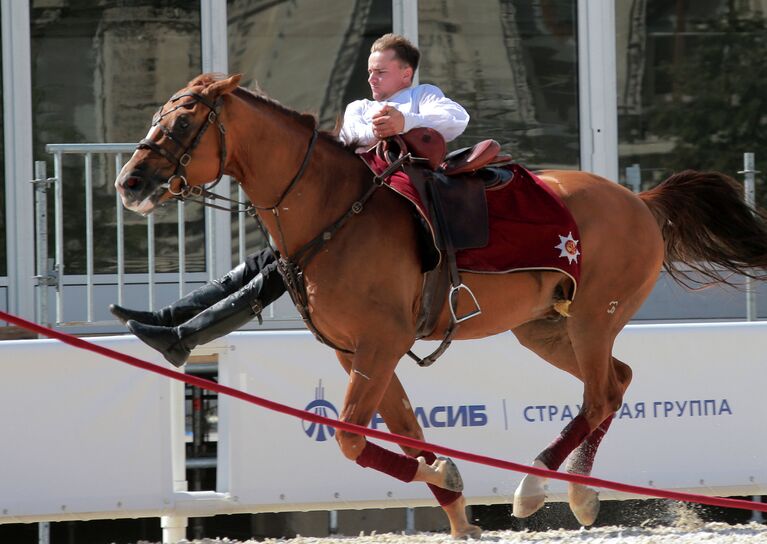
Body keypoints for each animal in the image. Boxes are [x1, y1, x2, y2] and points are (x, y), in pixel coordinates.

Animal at [117, 74, 767, 536]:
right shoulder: (359, 354)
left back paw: (538, 487)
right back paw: (581, 490)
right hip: (544, 329)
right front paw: (452, 501)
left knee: (602, 392)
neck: (338, 210)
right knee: (617, 381)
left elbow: (354, 439)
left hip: (592, 319)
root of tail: (641, 201)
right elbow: (405, 434)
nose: (130, 182)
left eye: (183, 121)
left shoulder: (379, 348)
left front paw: (444, 474)